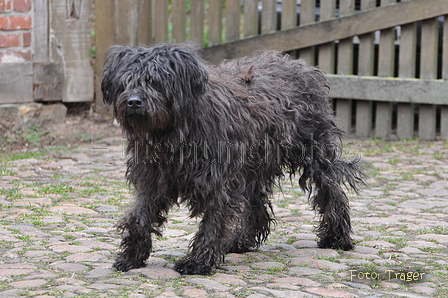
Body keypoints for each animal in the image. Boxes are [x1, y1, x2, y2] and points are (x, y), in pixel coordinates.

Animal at [100, 42, 364, 274]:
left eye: (156, 81)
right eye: (126, 82)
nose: (134, 102)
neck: (172, 133)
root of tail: (303, 66)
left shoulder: (217, 180)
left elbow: (213, 223)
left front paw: (197, 262)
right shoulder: (153, 179)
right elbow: (140, 217)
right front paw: (131, 257)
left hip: (314, 154)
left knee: (332, 193)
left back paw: (336, 237)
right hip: (253, 165)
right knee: (256, 205)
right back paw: (241, 242)